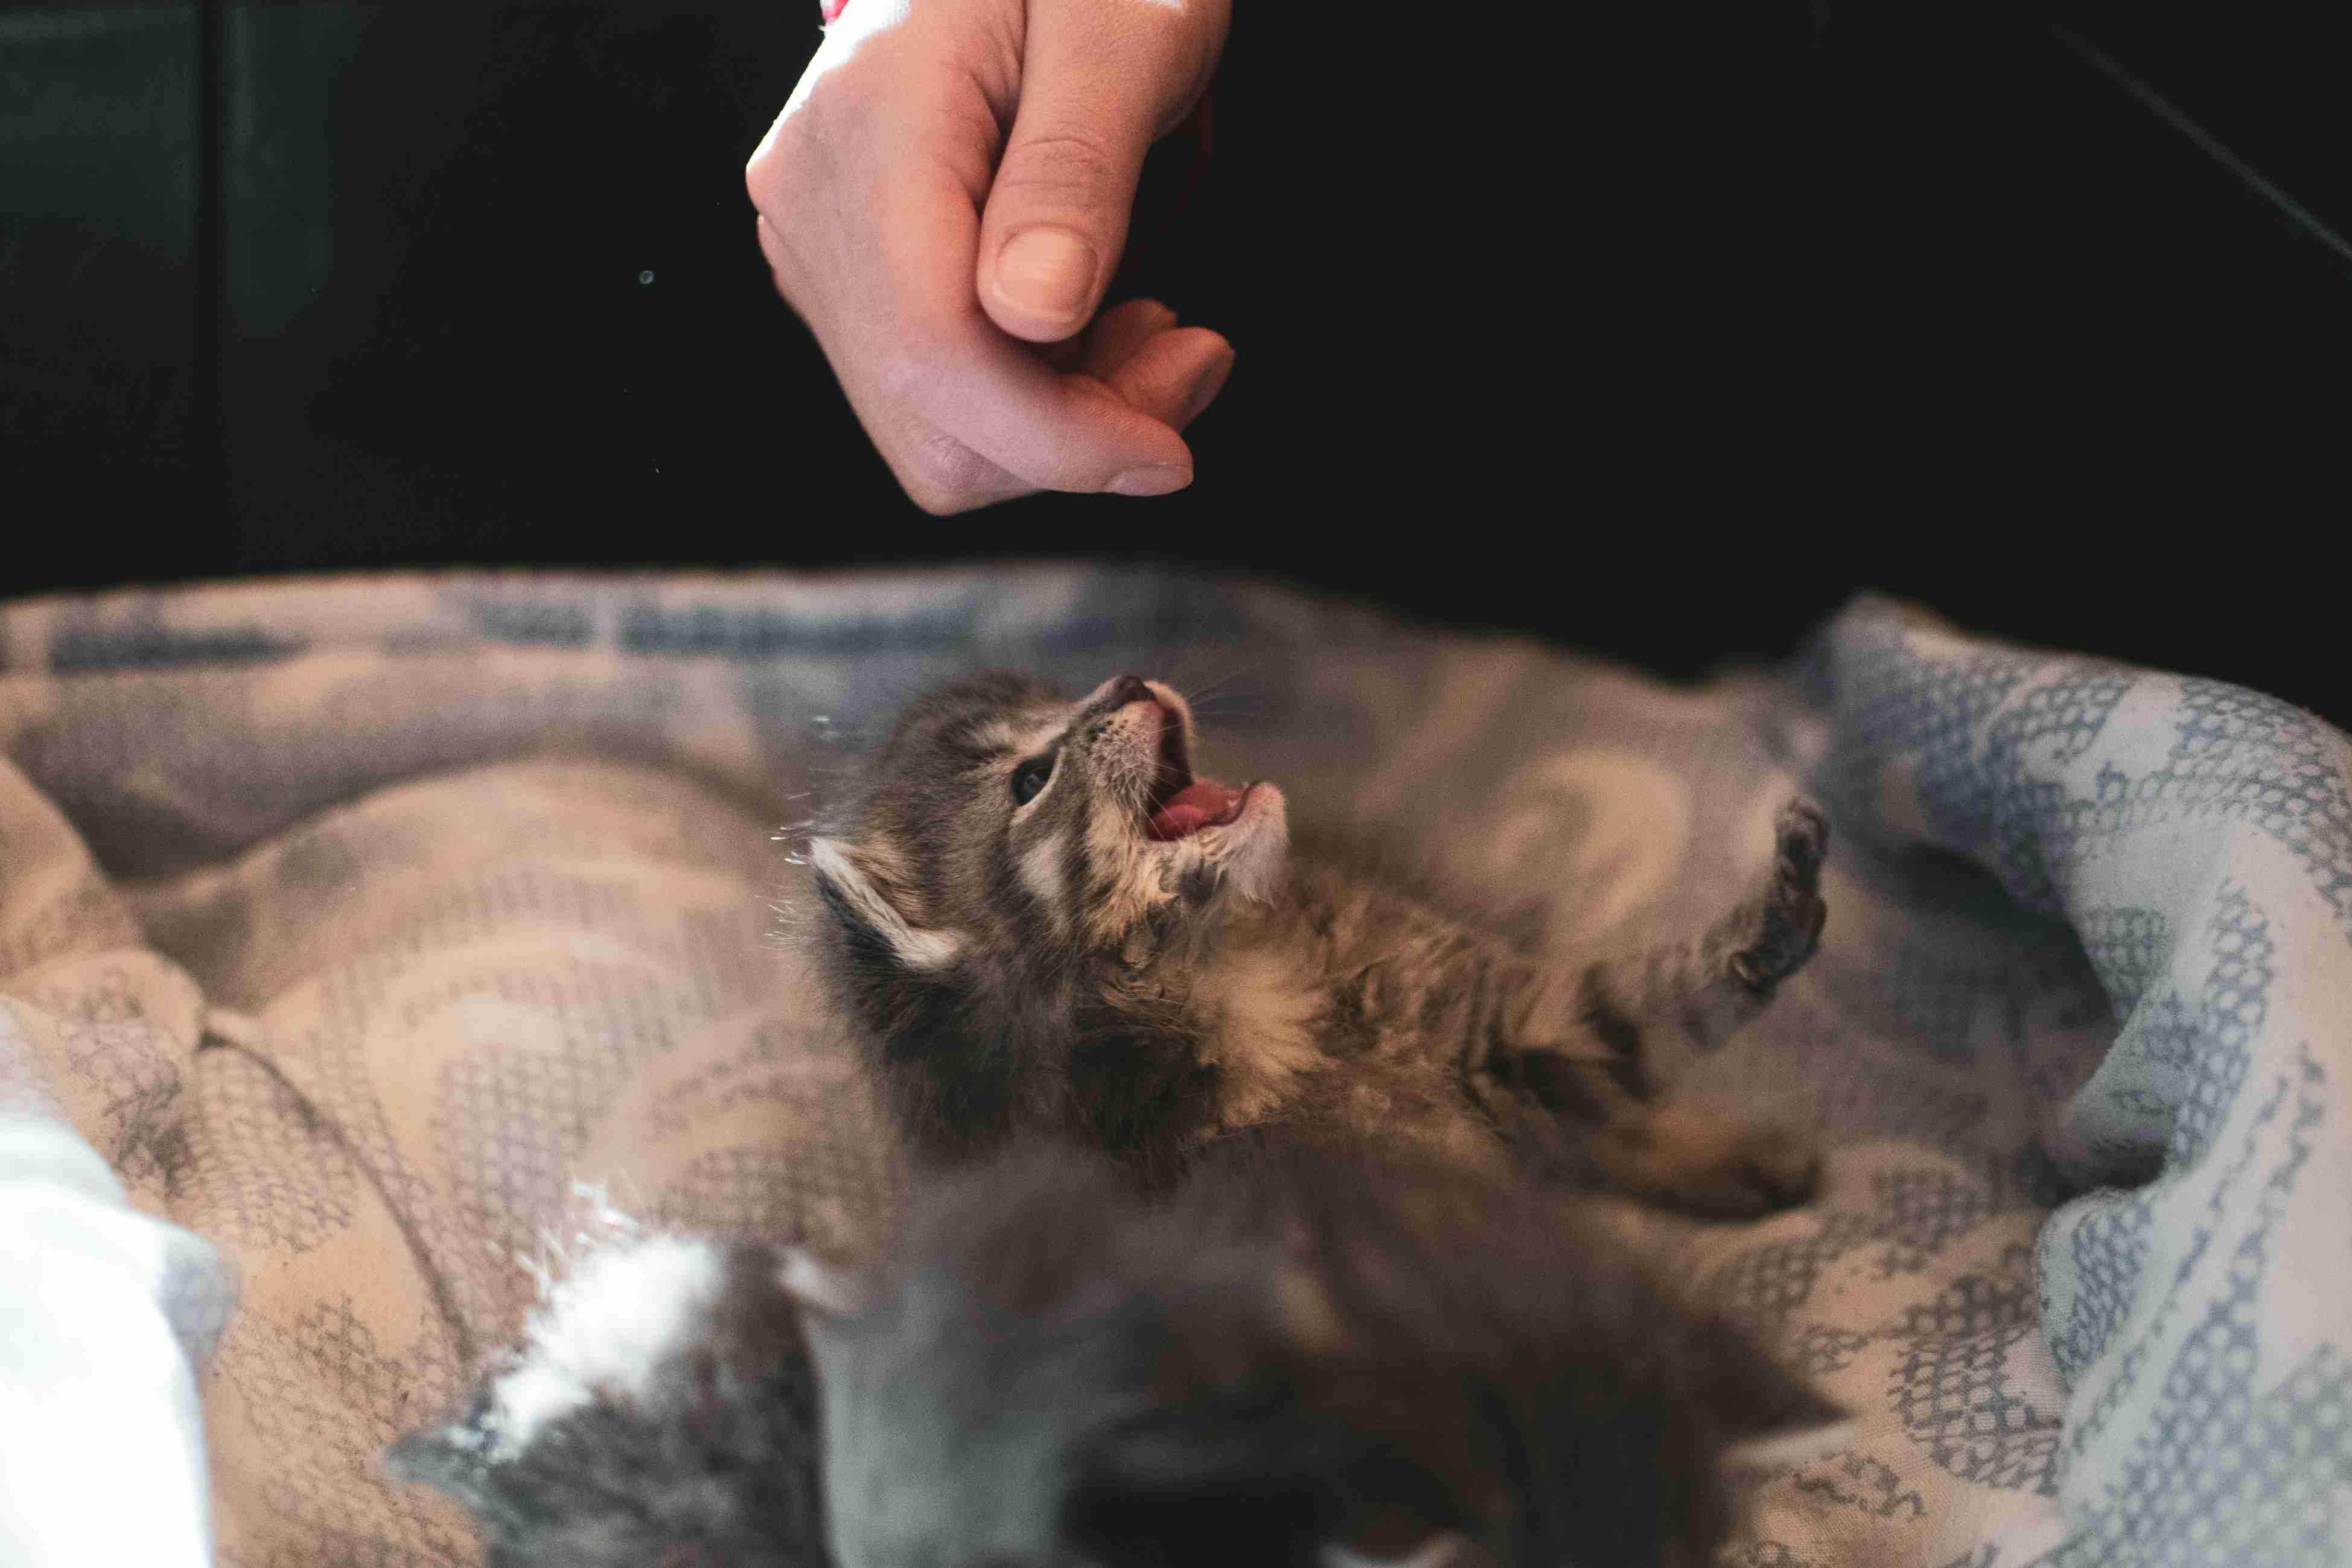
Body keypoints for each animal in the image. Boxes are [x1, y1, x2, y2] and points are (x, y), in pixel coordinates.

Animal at [818, 677, 1825, 1213]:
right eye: (1030, 778)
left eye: (1069, 697)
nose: (1131, 682)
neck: (1227, 974)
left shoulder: (1511, 1017)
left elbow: (1650, 1001)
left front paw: (1783, 904)